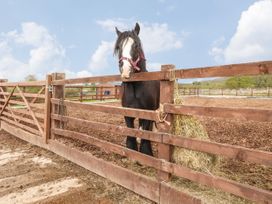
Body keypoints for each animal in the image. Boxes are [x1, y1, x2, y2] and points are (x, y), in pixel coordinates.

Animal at [114, 22, 160, 156]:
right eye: (118, 47)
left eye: (136, 45)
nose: (125, 70)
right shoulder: (128, 113)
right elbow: (131, 132)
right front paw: (131, 150)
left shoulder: (148, 113)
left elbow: (145, 134)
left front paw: (146, 152)